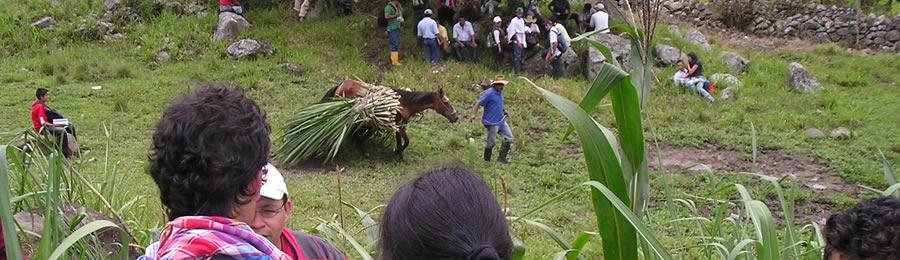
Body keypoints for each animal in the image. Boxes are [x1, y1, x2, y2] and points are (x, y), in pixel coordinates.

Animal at [322, 79, 460, 160]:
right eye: (446, 102)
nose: (456, 117)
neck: (405, 103)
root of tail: (340, 84)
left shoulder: (399, 126)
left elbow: (402, 141)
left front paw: (399, 155)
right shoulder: (398, 126)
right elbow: (406, 141)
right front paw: (397, 154)